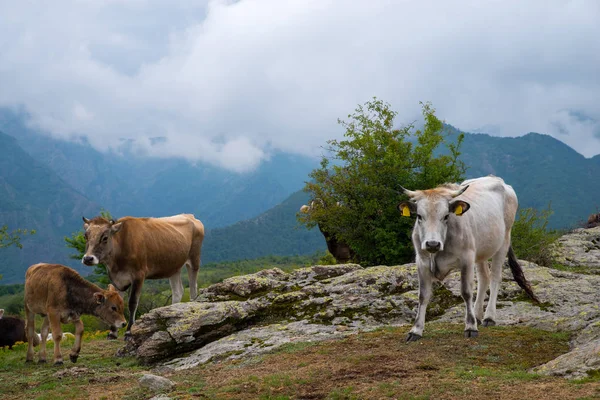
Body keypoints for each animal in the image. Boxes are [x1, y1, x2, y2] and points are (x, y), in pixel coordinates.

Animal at [398, 175, 540, 340]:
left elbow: (466, 292)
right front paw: (416, 330)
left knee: (495, 278)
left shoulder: (467, 259)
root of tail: (497, 179)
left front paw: (471, 327)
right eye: (419, 216)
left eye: (446, 216)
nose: (432, 244)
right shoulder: (421, 262)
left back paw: (489, 317)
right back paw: (478, 315)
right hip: (480, 251)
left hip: (503, 241)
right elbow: (423, 295)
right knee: (484, 277)